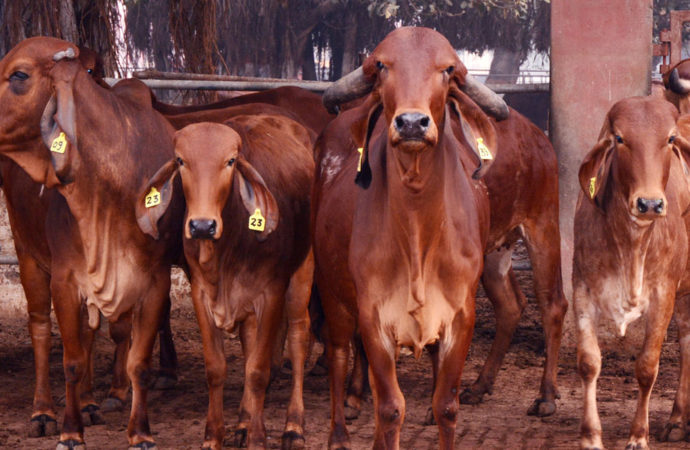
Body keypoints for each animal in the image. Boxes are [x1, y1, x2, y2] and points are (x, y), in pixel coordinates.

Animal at [0, 37, 183, 448]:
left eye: (19, 75)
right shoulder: (65, 280)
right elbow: (69, 360)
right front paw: (70, 432)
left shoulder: (155, 282)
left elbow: (136, 363)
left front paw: (140, 433)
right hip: (27, 254)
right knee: (40, 330)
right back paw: (43, 412)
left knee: (87, 333)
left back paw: (87, 403)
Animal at [136, 117, 312, 450]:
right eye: (181, 160)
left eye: (230, 161)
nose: (202, 226)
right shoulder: (201, 294)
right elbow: (217, 368)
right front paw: (214, 436)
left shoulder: (271, 294)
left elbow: (258, 370)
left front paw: (257, 439)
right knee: (249, 344)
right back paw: (243, 421)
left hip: (301, 278)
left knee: (298, 338)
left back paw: (293, 427)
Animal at [312, 26, 506, 448]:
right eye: (382, 65)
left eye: (447, 69)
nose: (413, 123)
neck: (418, 232)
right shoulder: (373, 318)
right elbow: (390, 407)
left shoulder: (459, 318)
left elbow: (445, 406)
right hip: (333, 295)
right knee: (337, 354)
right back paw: (339, 432)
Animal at [568, 96, 688, 450]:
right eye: (620, 138)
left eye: (670, 138)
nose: (649, 203)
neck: (631, 242)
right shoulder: (582, 290)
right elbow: (589, 362)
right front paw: (591, 436)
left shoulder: (663, 297)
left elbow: (647, 367)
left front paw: (638, 435)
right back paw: (677, 421)